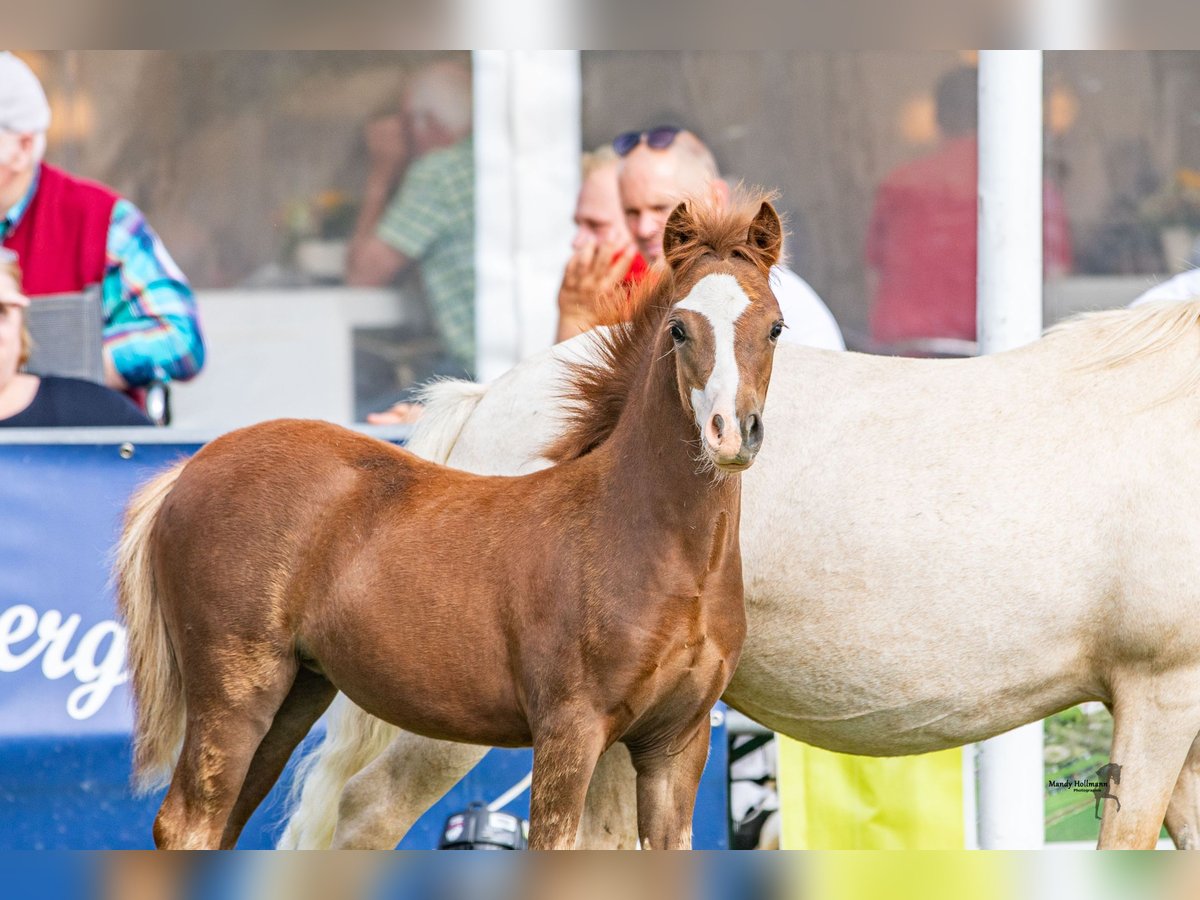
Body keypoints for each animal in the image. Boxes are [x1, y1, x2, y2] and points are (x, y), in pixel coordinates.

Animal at [112, 196, 787, 854]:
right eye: (678, 328)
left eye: (776, 326)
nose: (732, 433)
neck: (656, 548)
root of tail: (191, 468)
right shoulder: (570, 729)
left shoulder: (677, 745)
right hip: (234, 692)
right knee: (188, 824)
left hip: (293, 695)